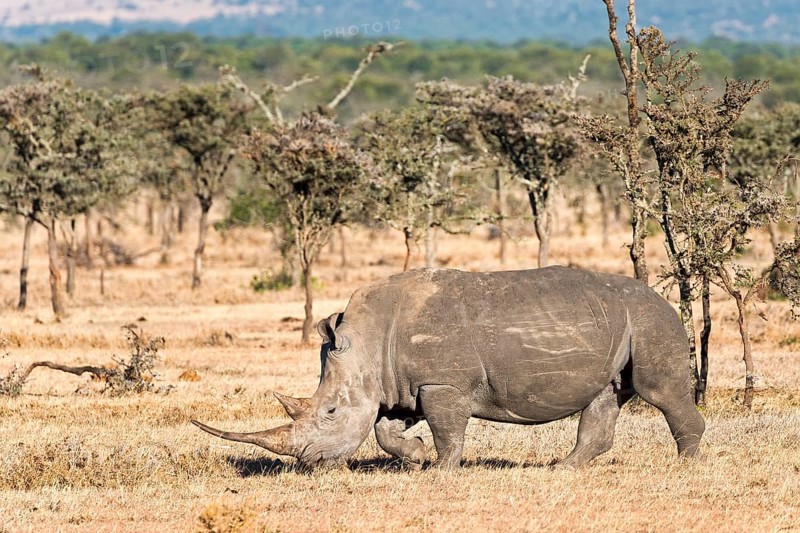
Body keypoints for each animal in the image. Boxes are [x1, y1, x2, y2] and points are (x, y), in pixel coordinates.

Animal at [193, 267, 704, 469]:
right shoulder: (401, 384)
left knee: (659, 391)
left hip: (650, 318)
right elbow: (385, 430)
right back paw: (563, 469)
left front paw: (440, 468)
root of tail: (661, 297)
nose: (309, 462)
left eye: (331, 413)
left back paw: (683, 464)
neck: (368, 341)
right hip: (617, 321)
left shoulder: (442, 382)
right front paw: (416, 458)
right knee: (604, 395)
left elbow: (447, 429)